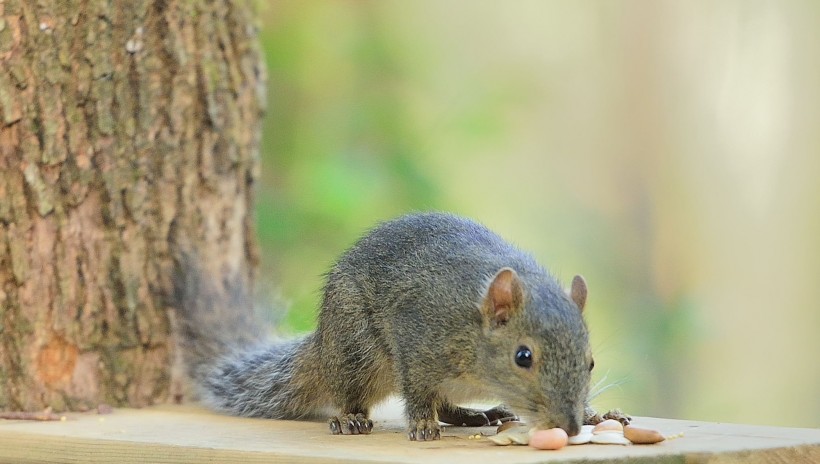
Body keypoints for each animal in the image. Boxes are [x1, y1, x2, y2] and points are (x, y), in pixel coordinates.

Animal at [173, 212, 620, 440]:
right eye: (523, 357)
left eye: (591, 362)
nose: (569, 426)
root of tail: (321, 344)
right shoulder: (417, 340)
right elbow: (419, 393)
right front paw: (420, 423)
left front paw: (597, 414)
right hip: (355, 351)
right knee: (349, 392)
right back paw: (350, 418)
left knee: (449, 405)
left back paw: (480, 414)